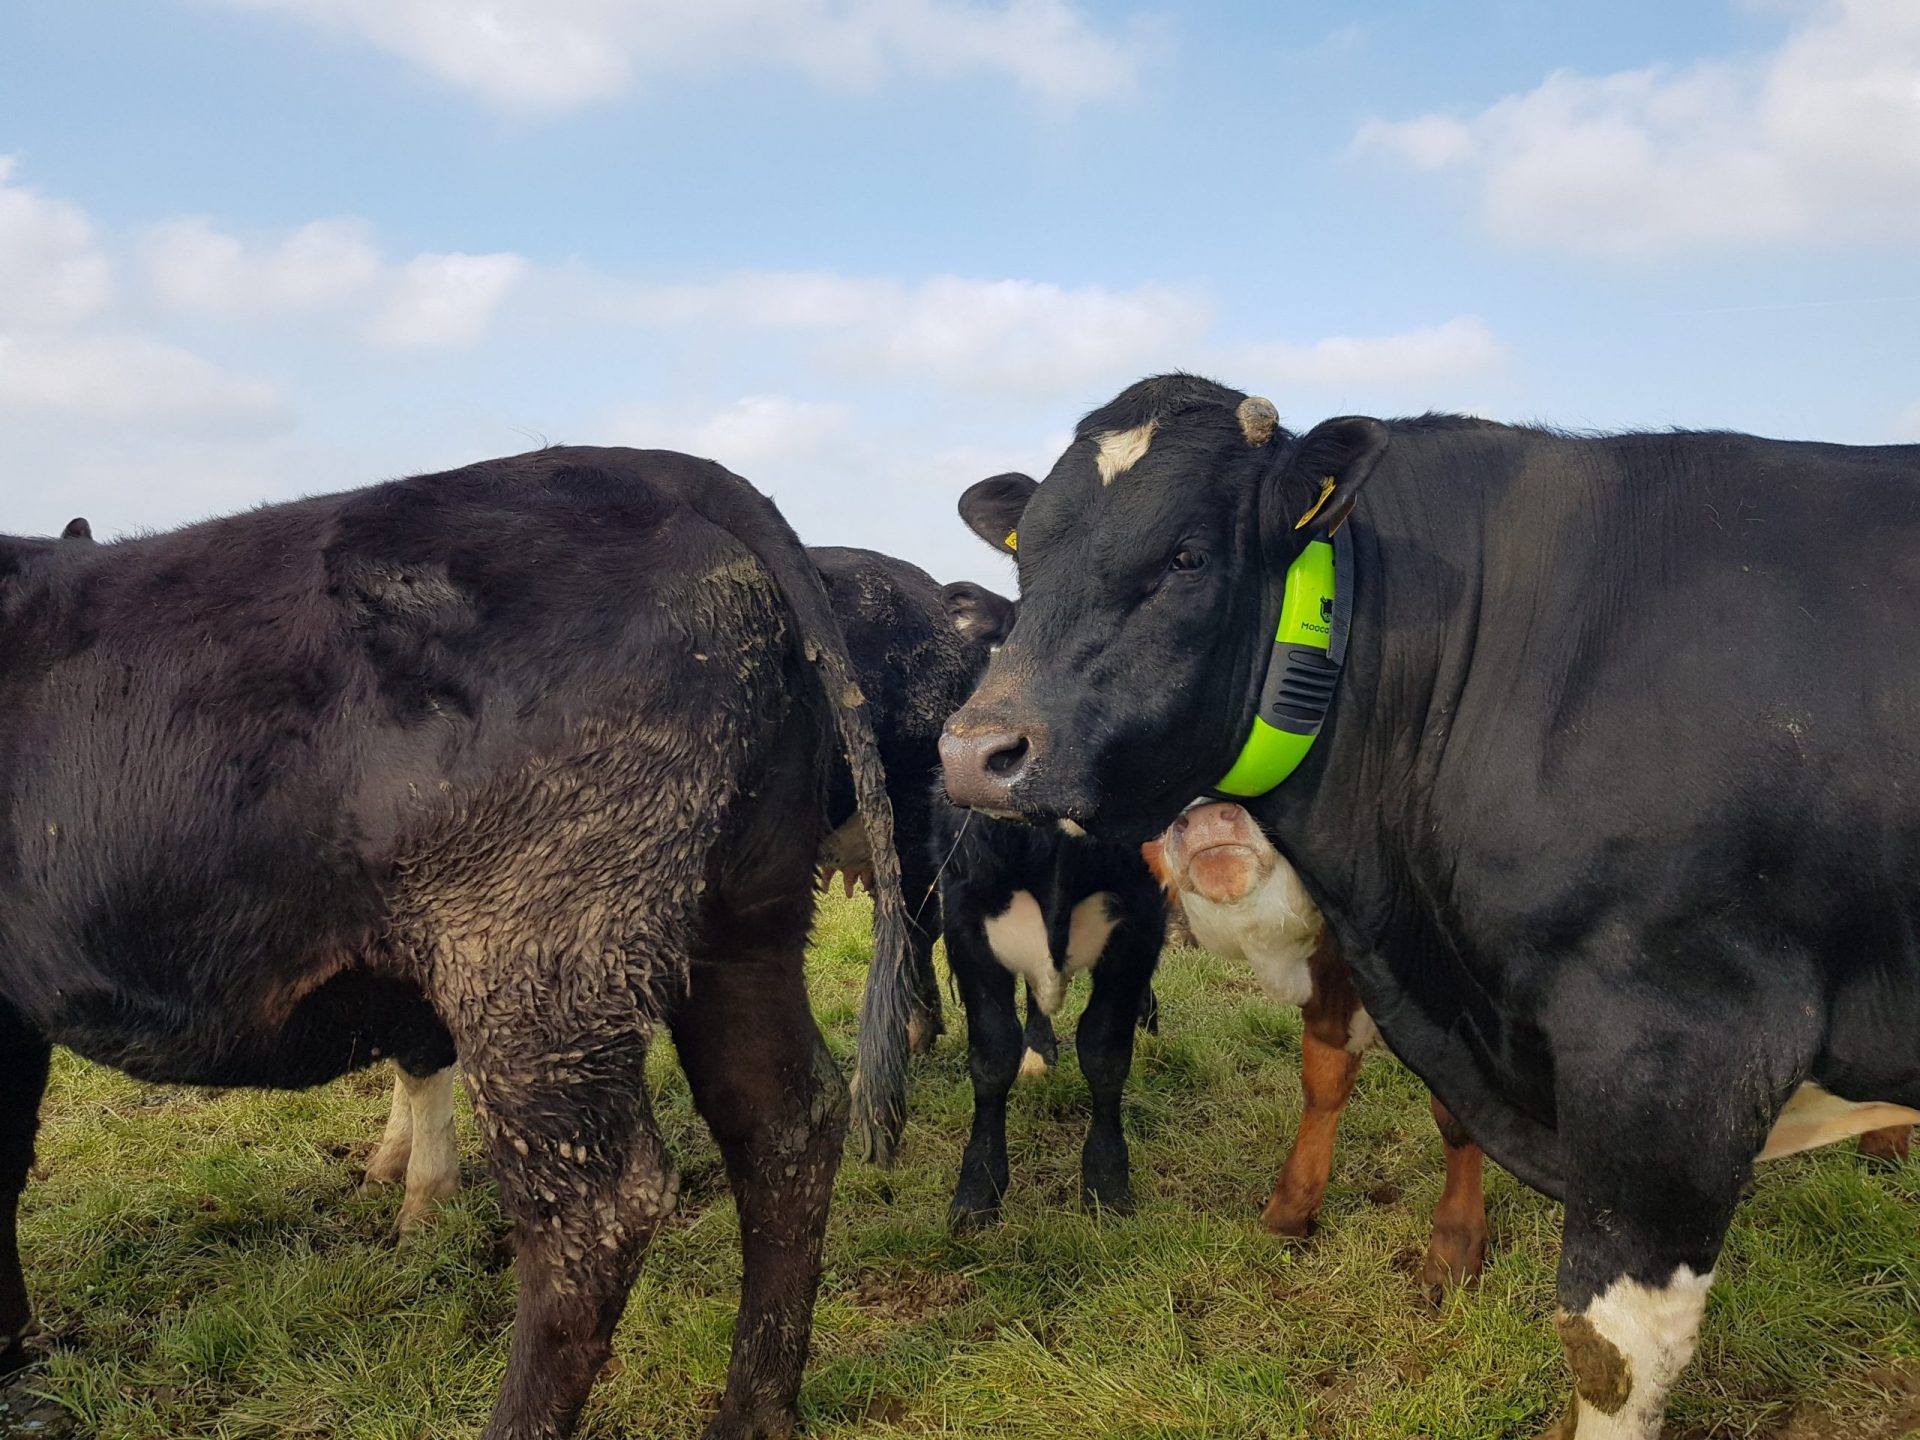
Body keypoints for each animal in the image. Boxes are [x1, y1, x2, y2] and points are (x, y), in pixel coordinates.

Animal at [0, 448, 915, 1440]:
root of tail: (650, 467)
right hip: (745, 919)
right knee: (784, 1122)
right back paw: (752, 1414)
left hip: (534, 967)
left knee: (594, 1209)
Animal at [1146, 801, 1487, 1295]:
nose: (1207, 817)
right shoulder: (1328, 999)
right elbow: (1322, 1091)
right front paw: (1290, 1211)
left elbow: (1456, 1117)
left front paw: (1453, 1249)